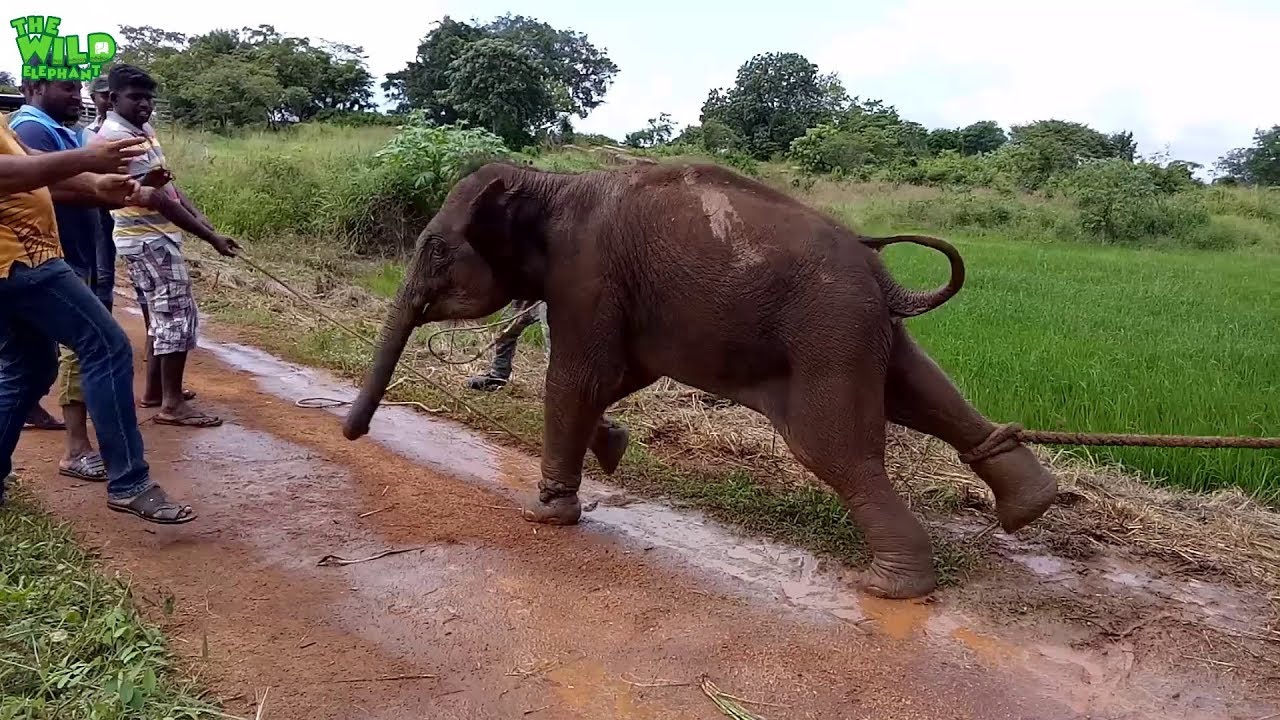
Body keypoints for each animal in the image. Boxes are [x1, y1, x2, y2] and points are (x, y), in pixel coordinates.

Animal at [342, 159, 1059, 599]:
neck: (550, 181)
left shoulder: (589, 278)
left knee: (835, 449)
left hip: (827, 326)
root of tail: (879, 270)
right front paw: (612, 448)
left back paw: (893, 588)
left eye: (435, 249)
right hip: (861, 325)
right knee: (920, 391)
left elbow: (579, 378)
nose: (353, 435)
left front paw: (545, 515)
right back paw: (1032, 505)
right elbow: (614, 377)